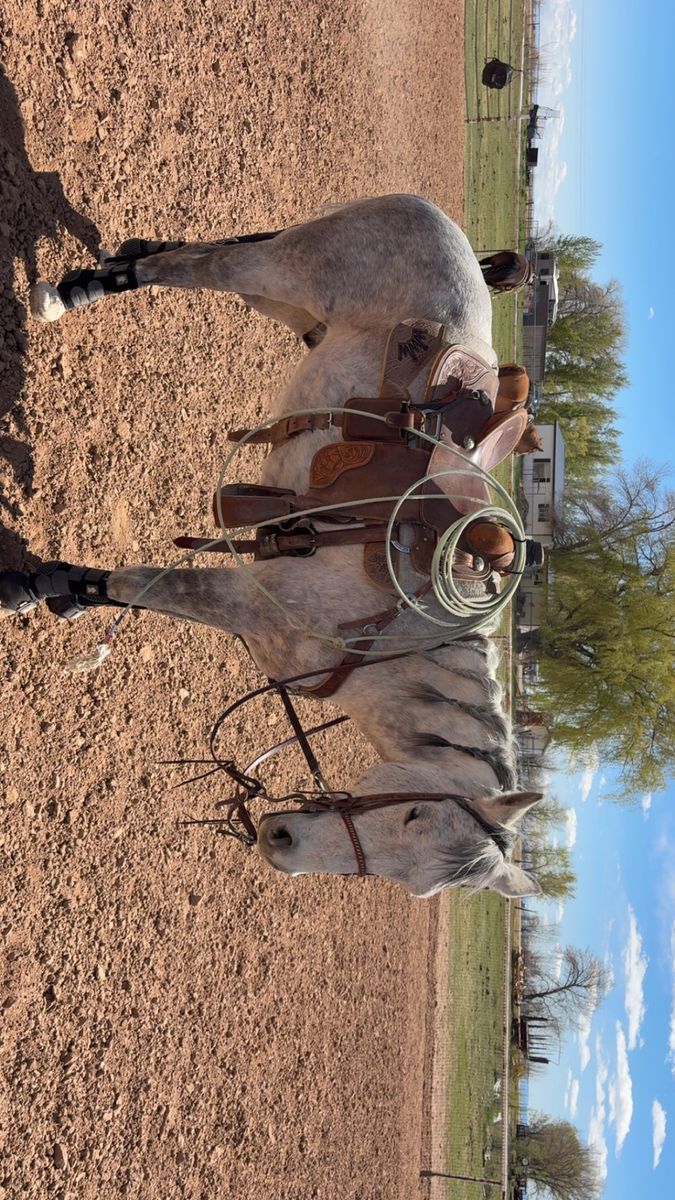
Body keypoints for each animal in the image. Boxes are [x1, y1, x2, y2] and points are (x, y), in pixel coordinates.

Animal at [3, 194, 542, 898]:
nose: (280, 842)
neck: (384, 642)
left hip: (290, 305)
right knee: (196, 266)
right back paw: (69, 295)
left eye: (420, 887)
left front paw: (59, 596)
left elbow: (134, 591)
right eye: (415, 813)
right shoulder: (243, 597)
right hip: (282, 271)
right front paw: (35, 586)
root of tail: (431, 213)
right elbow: (134, 586)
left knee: (198, 254)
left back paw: (113, 265)